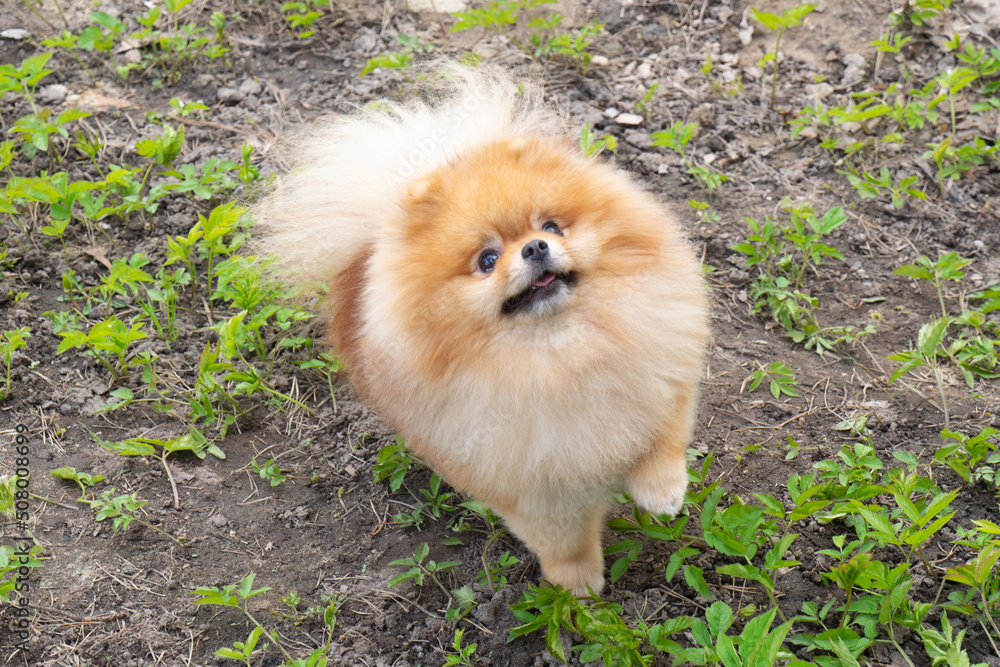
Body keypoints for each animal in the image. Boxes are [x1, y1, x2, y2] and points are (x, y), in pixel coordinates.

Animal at [258, 70, 712, 596]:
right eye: (487, 260)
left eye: (552, 225)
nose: (536, 247)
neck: (560, 350)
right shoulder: (531, 486)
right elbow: (564, 540)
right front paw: (577, 588)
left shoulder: (660, 375)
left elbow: (663, 438)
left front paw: (663, 494)